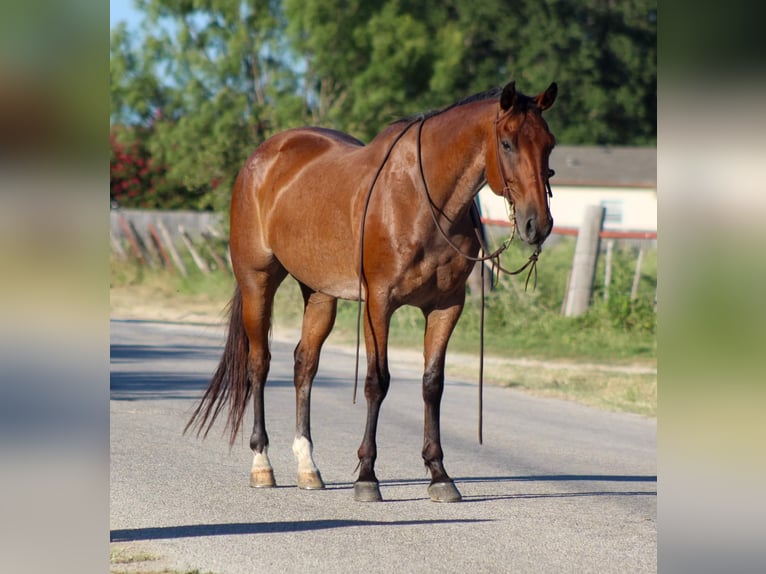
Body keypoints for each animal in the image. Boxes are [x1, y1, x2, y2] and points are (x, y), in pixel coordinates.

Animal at [186, 79, 558, 502]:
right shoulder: (379, 302)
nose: (538, 224)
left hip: (319, 292)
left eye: (549, 143)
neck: (423, 200)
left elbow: (433, 385)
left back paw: (307, 466)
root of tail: (261, 157)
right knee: (259, 364)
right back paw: (262, 463)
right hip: (257, 280)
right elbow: (377, 382)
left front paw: (439, 474)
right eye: (507, 143)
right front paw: (367, 476)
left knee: (304, 365)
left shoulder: (447, 306)